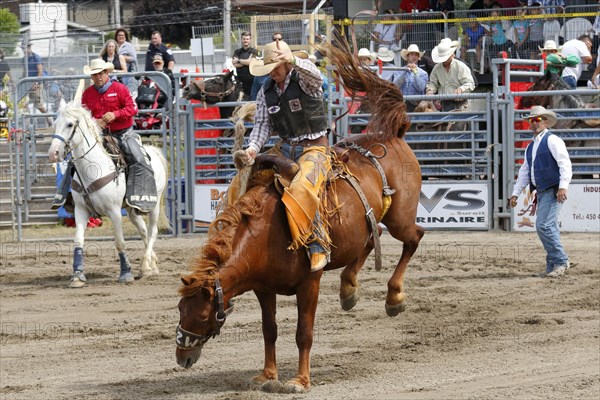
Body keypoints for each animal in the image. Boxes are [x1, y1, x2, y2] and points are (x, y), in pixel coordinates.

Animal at [47, 100, 166, 288]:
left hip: (153, 204)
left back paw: (145, 267)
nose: (54, 153)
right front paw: (77, 276)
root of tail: (153, 151)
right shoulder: (81, 210)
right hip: (131, 208)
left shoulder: (114, 211)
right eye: (55, 124)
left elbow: (119, 242)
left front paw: (126, 273)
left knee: (152, 230)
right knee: (143, 230)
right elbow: (78, 240)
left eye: (70, 124)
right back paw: (152, 264)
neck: (93, 168)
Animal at [176, 37, 424, 394]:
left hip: (400, 217)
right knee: (368, 240)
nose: (182, 357)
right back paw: (349, 290)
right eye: (180, 310)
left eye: (201, 315)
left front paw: (299, 380)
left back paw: (394, 297)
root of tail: (391, 134)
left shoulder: (310, 284)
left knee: (413, 238)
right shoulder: (263, 288)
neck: (267, 233)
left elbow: (303, 332)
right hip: (362, 224)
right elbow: (269, 330)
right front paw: (267, 375)